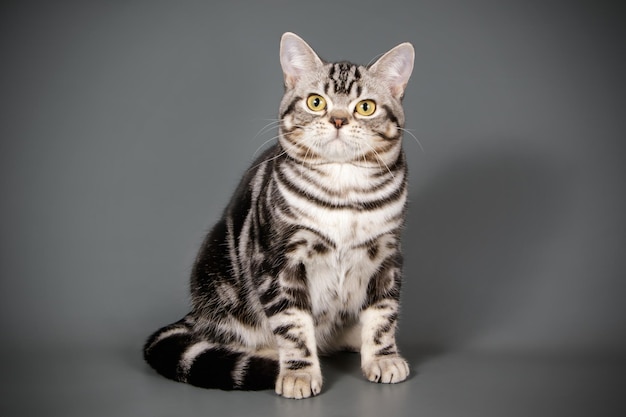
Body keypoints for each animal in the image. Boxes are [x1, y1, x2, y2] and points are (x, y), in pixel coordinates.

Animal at [143, 31, 412, 396]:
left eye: (365, 107)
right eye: (316, 102)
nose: (339, 119)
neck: (344, 190)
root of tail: (196, 315)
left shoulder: (387, 255)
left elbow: (383, 314)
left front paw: (383, 357)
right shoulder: (278, 262)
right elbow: (293, 324)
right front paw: (299, 372)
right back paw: (270, 353)